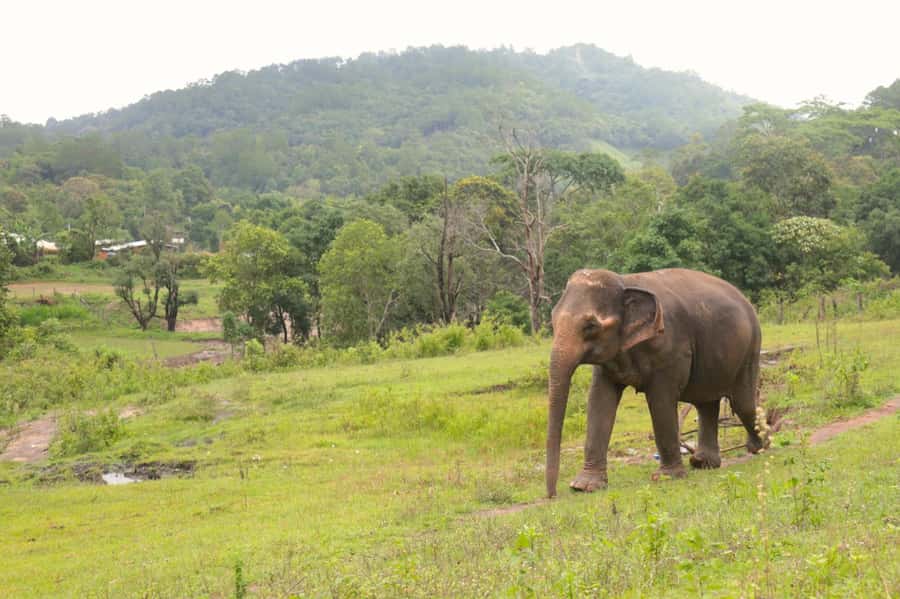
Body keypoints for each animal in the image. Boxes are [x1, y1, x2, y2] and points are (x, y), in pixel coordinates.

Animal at [545, 268, 766, 498]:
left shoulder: (670, 350)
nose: (552, 495)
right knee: (706, 402)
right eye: (553, 320)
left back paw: (759, 446)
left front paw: (667, 477)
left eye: (590, 326)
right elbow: (599, 401)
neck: (625, 282)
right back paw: (702, 462)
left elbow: (661, 400)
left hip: (750, 350)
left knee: (742, 403)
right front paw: (584, 486)